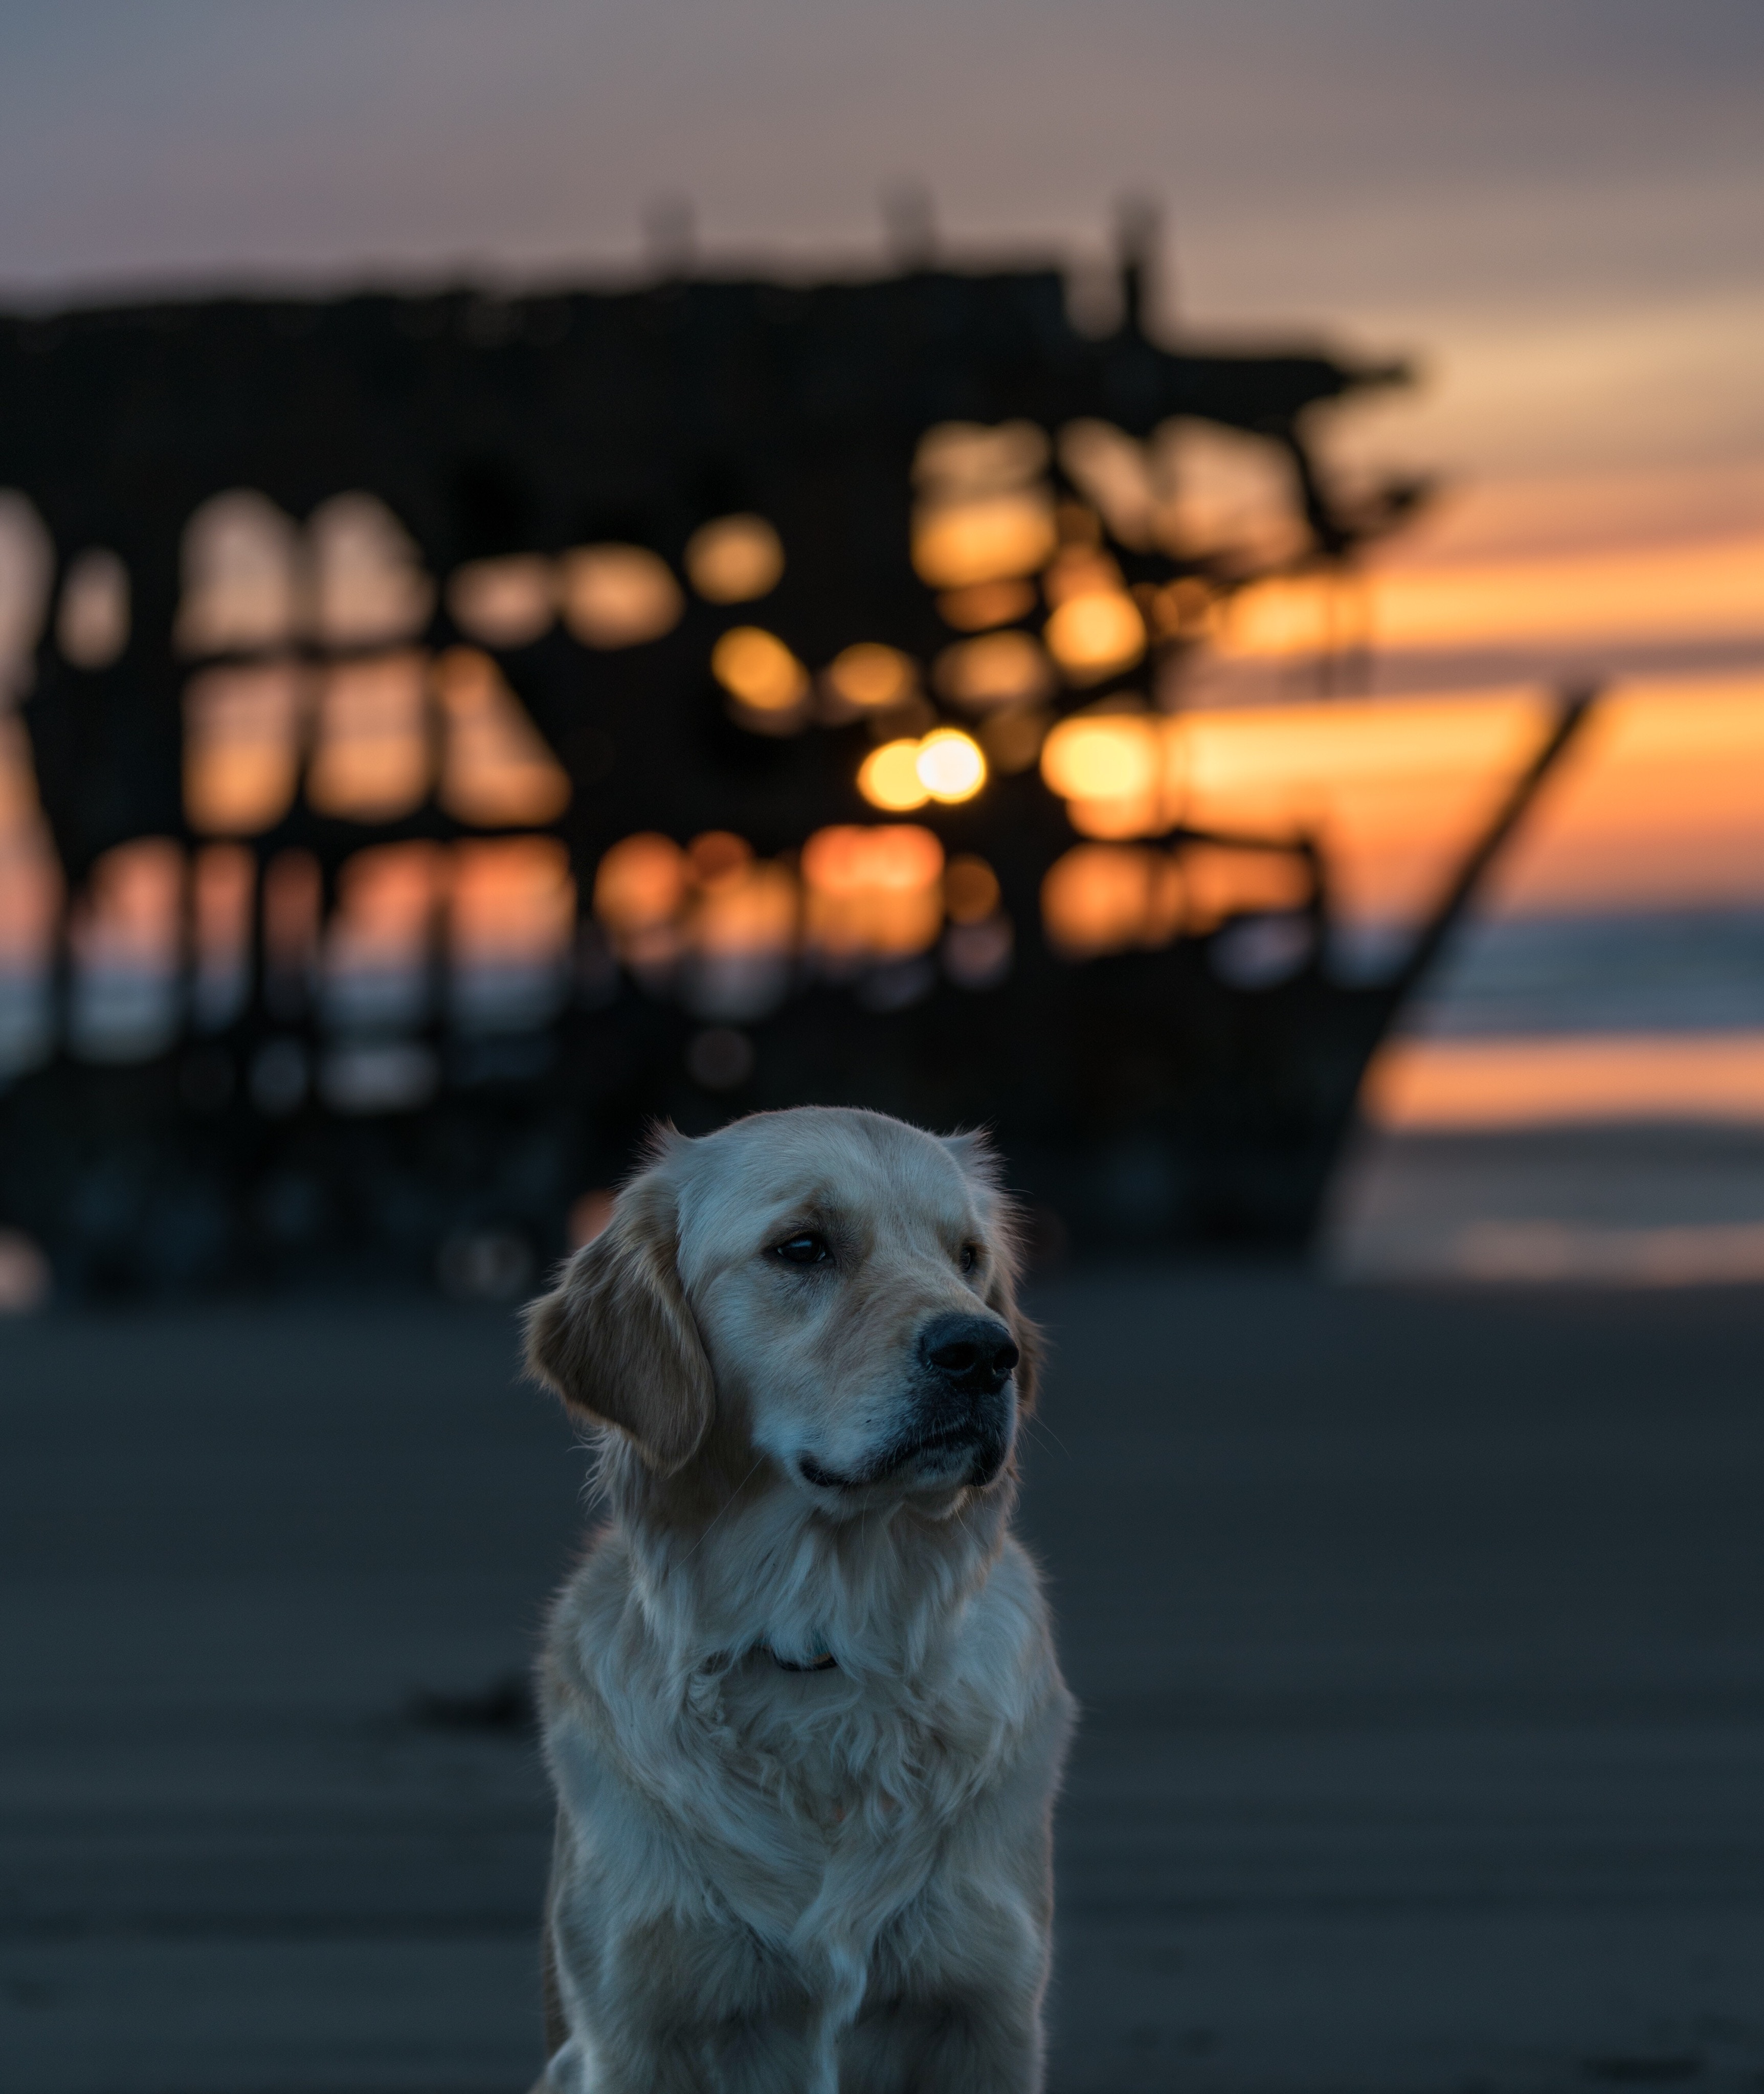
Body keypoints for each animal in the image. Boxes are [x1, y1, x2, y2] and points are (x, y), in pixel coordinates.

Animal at [519, 1105, 1073, 2085]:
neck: (822, 1645)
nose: (984, 1351)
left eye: (968, 1255)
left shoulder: (988, 2013)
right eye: (803, 1247)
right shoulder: (633, 2028)